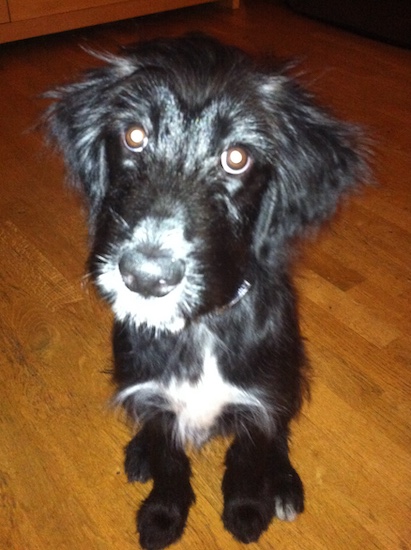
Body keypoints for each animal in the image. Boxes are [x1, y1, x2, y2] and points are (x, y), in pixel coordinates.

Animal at [45, 34, 370, 550]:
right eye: (134, 136)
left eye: (237, 158)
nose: (145, 277)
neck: (198, 329)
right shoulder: (155, 397)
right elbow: (169, 461)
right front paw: (163, 514)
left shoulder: (259, 398)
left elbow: (249, 457)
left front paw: (247, 510)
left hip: (293, 372)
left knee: (280, 434)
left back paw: (283, 484)